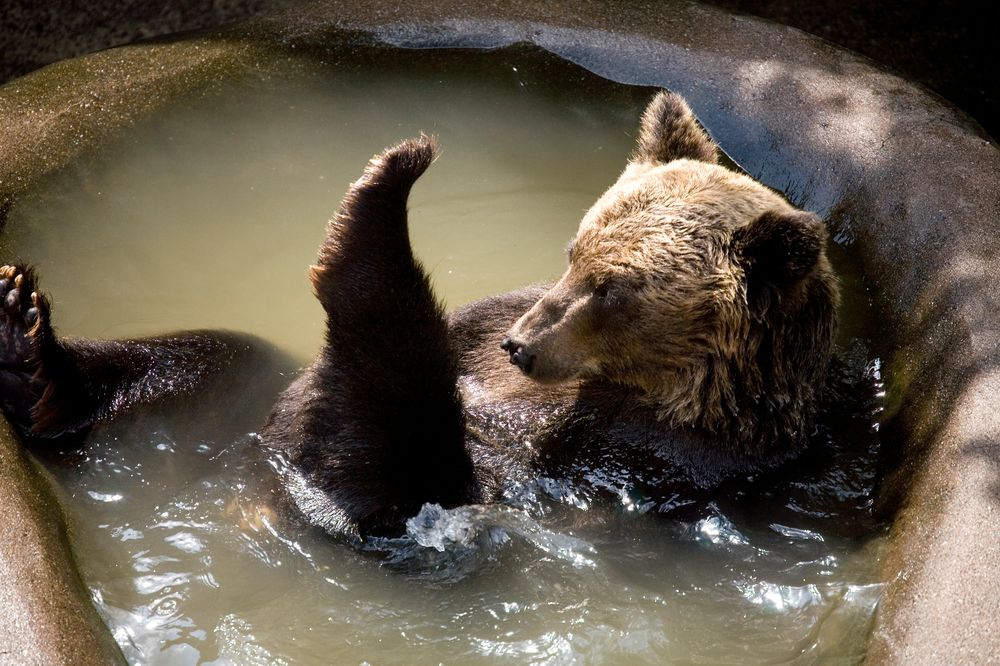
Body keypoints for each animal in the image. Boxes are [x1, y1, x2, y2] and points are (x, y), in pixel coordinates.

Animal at [0, 91, 838, 540]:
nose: (523, 348)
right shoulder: (493, 320)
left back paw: (377, 210)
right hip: (249, 396)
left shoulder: (644, 456)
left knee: (395, 425)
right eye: (575, 251)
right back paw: (26, 342)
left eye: (615, 288)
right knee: (211, 357)